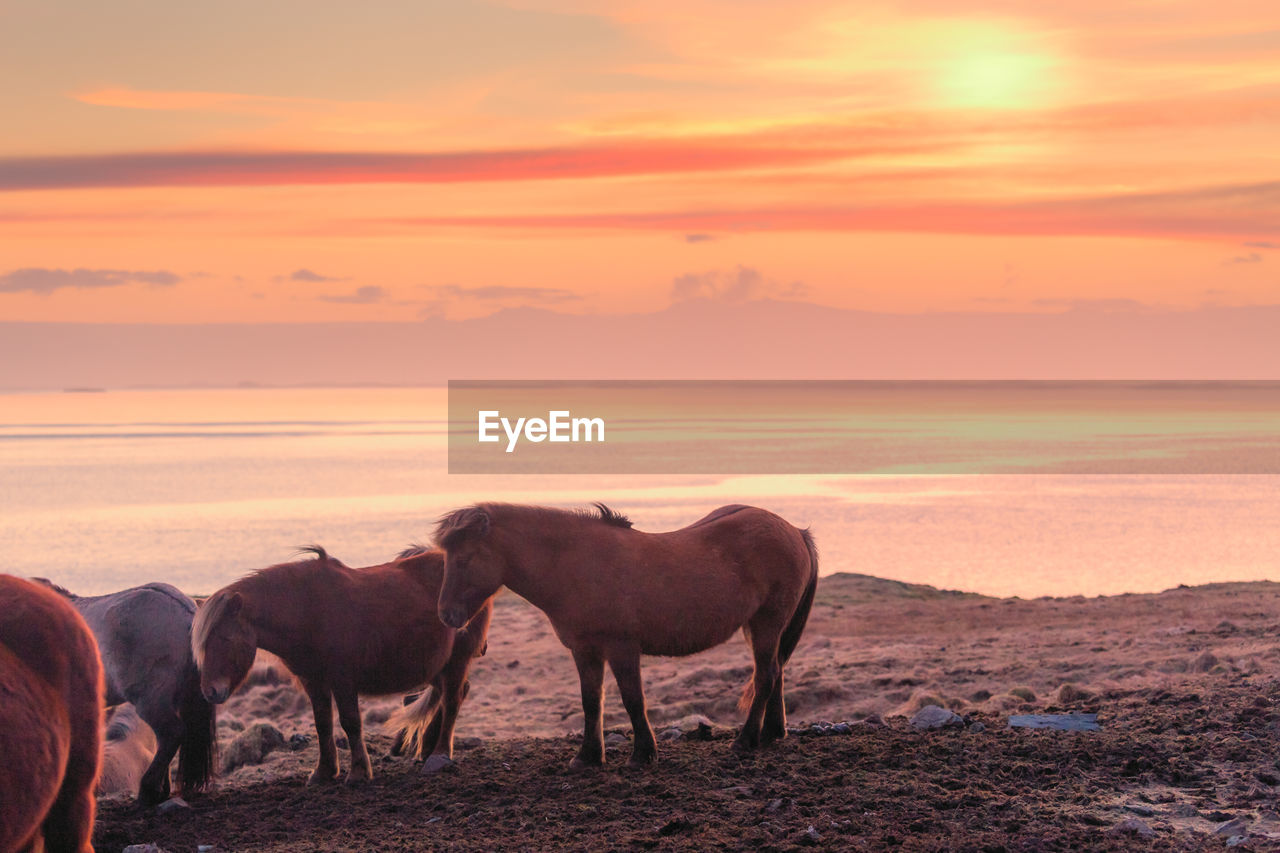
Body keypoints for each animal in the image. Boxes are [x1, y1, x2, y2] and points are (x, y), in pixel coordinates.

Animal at [192, 548, 491, 778]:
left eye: (226, 639)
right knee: (448, 695)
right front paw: (324, 772)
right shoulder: (314, 682)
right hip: (437, 665)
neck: (307, 609)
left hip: (457, 660)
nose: (209, 691)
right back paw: (428, 748)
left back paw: (439, 754)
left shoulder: (343, 680)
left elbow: (350, 723)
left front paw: (358, 773)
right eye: (202, 645)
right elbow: (322, 723)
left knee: (452, 701)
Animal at [435, 502, 819, 768]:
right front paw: (588, 757)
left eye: (465, 559)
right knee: (775, 672)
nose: (446, 615)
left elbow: (633, 699)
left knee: (766, 675)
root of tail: (794, 531)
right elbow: (592, 701)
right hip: (760, 627)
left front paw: (643, 754)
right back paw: (770, 734)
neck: (576, 565)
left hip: (767, 623)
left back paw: (745, 740)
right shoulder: (584, 650)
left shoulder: (622, 649)